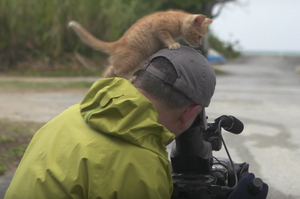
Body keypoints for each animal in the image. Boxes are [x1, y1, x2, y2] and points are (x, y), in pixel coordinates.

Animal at [69, 9, 212, 79]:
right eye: (199, 36)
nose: (199, 44)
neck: (178, 19)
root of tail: (117, 44)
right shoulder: (158, 26)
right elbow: (166, 36)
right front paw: (173, 44)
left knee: (110, 71)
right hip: (135, 58)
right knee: (118, 70)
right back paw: (130, 77)